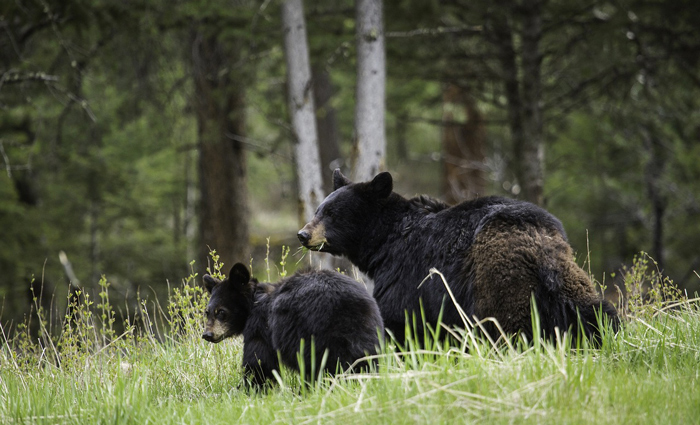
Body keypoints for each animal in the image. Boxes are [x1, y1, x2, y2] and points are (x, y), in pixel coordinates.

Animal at [200, 264, 386, 390]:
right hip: (369, 331)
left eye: (221, 311)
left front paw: (249, 389)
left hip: (312, 334)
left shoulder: (261, 325)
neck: (254, 301)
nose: (207, 334)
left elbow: (259, 361)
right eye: (207, 312)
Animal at [296, 170, 616, 344]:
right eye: (318, 209)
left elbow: (399, 318)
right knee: (595, 312)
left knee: (507, 325)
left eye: (332, 213)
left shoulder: (407, 273)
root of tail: (539, 246)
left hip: (499, 280)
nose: (303, 234)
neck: (386, 242)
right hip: (569, 280)